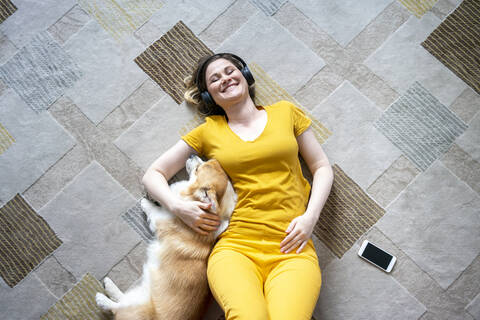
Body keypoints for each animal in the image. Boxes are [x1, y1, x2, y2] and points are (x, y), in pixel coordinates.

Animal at [96, 154, 236, 318]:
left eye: (197, 170)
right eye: (203, 163)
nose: (192, 154)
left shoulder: (160, 218)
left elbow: (152, 209)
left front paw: (146, 202)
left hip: (138, 307)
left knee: (116, 308)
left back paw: (102, 299)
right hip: (141, 295)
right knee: (122, 299)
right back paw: (108, 285)